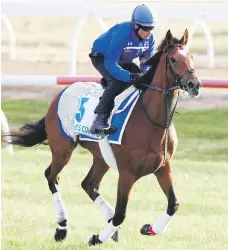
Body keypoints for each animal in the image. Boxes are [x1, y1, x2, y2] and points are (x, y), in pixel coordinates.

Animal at [3, 29, 200, 246]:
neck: (153, 119)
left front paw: (149, 229)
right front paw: (97, 237)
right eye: (173, 60)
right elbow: (121, 213)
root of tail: (60, 93)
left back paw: (109, 226)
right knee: (52, 177)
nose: (194, 84)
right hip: (62, 150)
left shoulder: (163, 167)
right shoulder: (127, 173)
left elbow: (173, 204)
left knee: (88, 184)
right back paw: (62, 227)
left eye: (191, 57)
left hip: (101, 157)